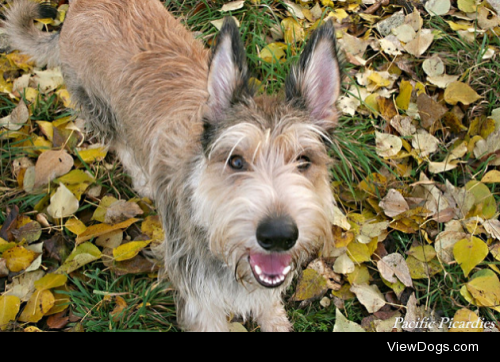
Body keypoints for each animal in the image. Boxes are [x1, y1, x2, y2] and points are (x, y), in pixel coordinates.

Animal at [4, 0, 340, 332]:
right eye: (235, 160)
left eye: (304, 160)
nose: (279, 235)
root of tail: (78, 6)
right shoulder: (200, 302)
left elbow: (271, 310)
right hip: (97, 106)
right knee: (119, 142)